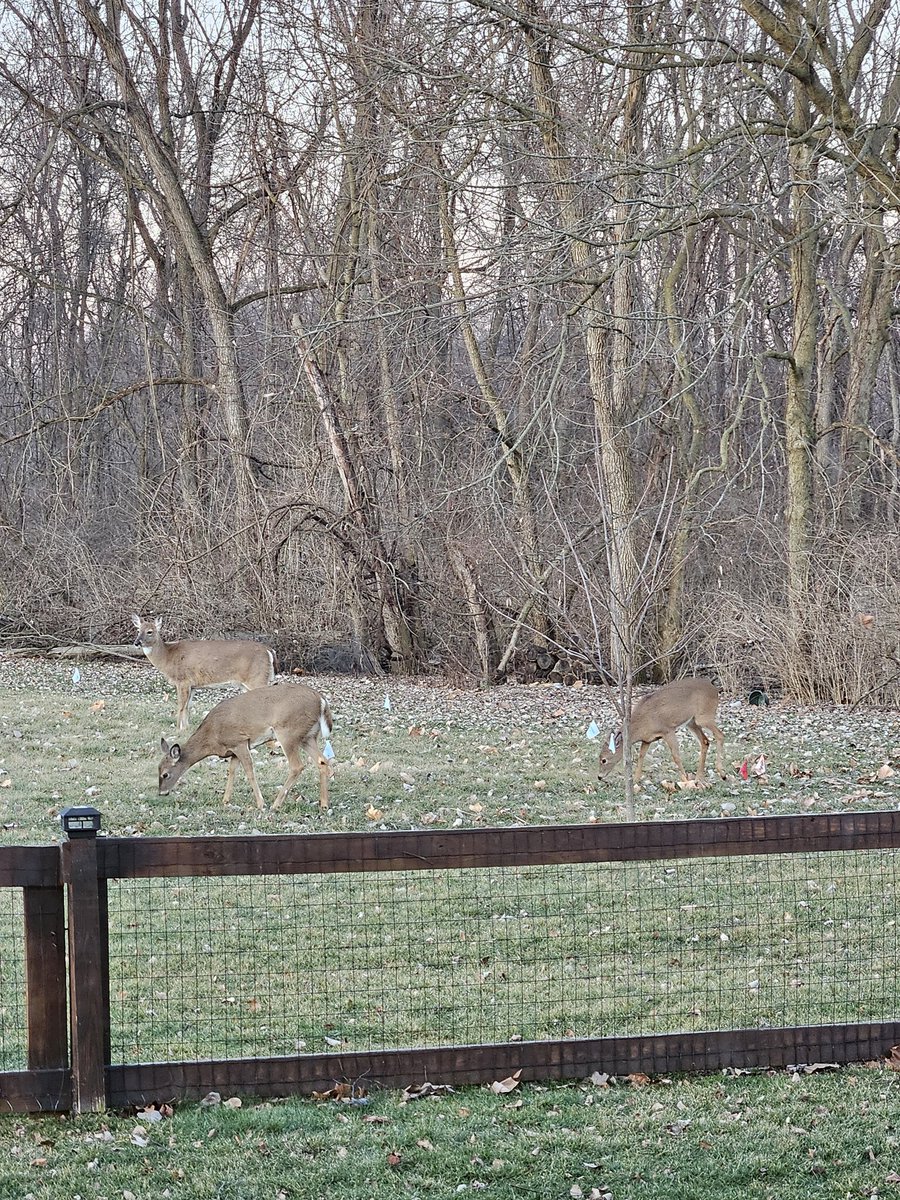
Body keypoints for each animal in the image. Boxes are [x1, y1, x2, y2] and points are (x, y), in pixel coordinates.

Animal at [132, 614, 275, 731]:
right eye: (138, 630)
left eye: (150, 631)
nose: (137, 642)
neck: (168, 657)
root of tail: (269, 650)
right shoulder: (192, 685)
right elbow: (187, 706)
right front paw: (186, 728)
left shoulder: (182, 680)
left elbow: (180, 705)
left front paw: (178, 729)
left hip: (257, 678)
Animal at [158, 682, 334, 810]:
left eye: (165, 774)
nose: (161, 793)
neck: (212, 736)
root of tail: (321, 700)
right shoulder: (233, 749)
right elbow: (232, 771)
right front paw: (225, 800)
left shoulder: (240, 741)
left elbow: (249, 772)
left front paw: (261, 804)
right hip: (308, 736)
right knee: (322, 761)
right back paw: (324, 804)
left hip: (288, 732)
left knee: (297, 766)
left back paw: (276, 804)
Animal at [597, 677, 727, 787]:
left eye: (604, 760)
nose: (599, 777)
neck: (640, 725)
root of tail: (714, 689)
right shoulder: (647, 739)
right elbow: (641, 757)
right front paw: (635, 780)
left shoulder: (667, 730)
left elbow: (676, 756)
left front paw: (685, 780)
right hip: (691, 722)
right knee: (705, 741)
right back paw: (699, 778)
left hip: (704, 716)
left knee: (720, 735)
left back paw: (722, 774)